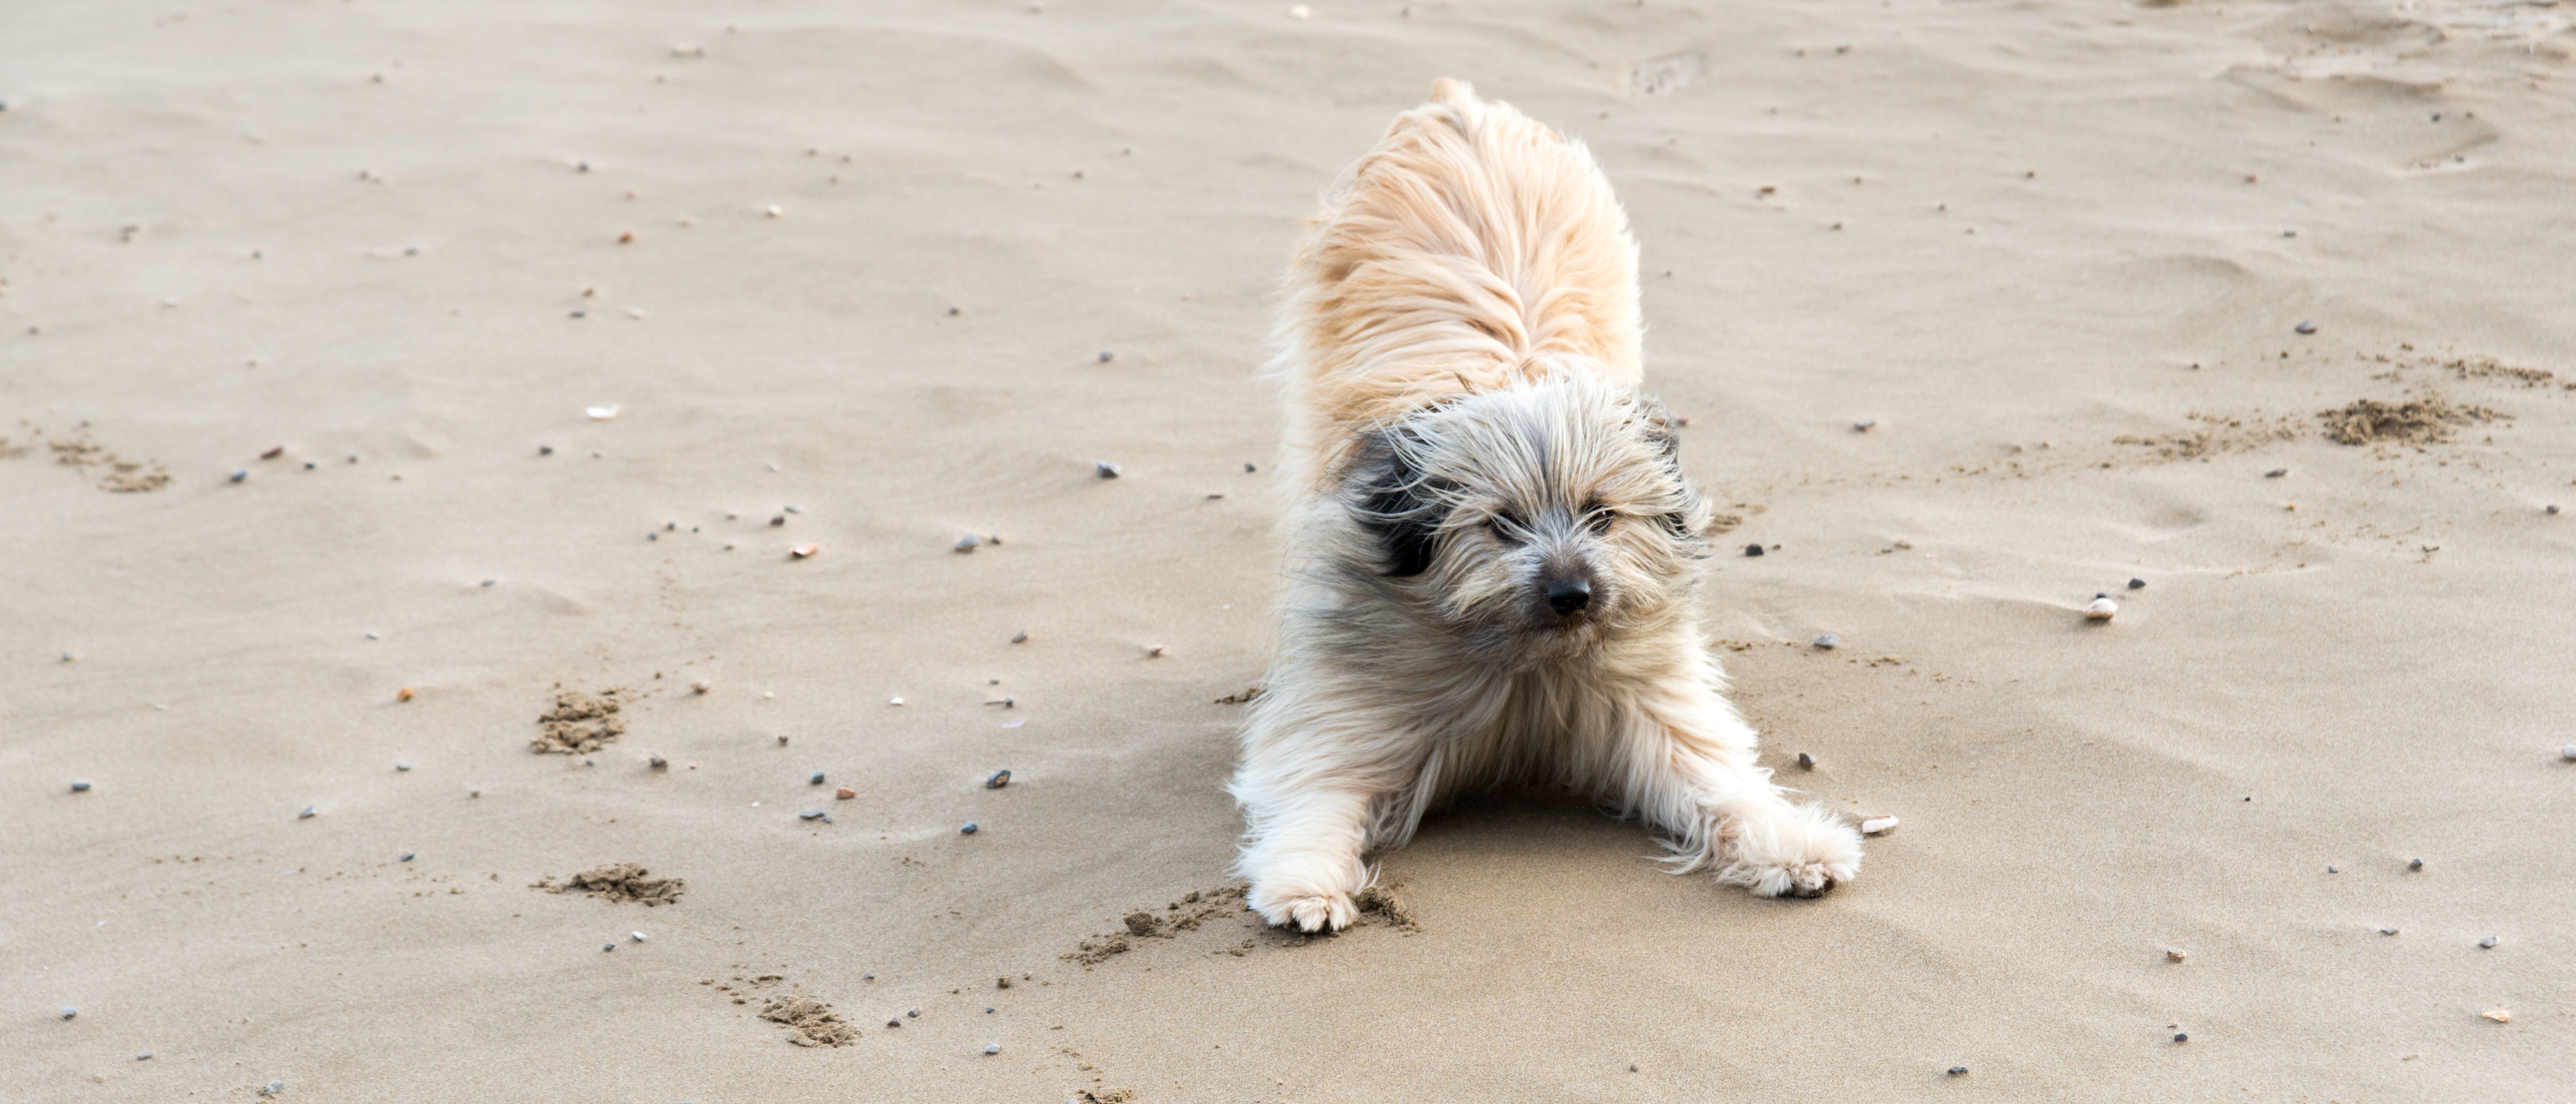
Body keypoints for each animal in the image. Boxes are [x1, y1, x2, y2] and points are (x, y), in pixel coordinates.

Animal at [1231, 82, 1865, 931]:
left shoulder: (1650, 710)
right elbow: (1317, 788)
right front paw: (1303, 879)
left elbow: (1717, 782)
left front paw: (1789, 842)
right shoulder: (1354, 704)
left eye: (1601, 514)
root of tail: (1457, 109)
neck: (1528, 662)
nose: (1573, 594)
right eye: (1501, 523)